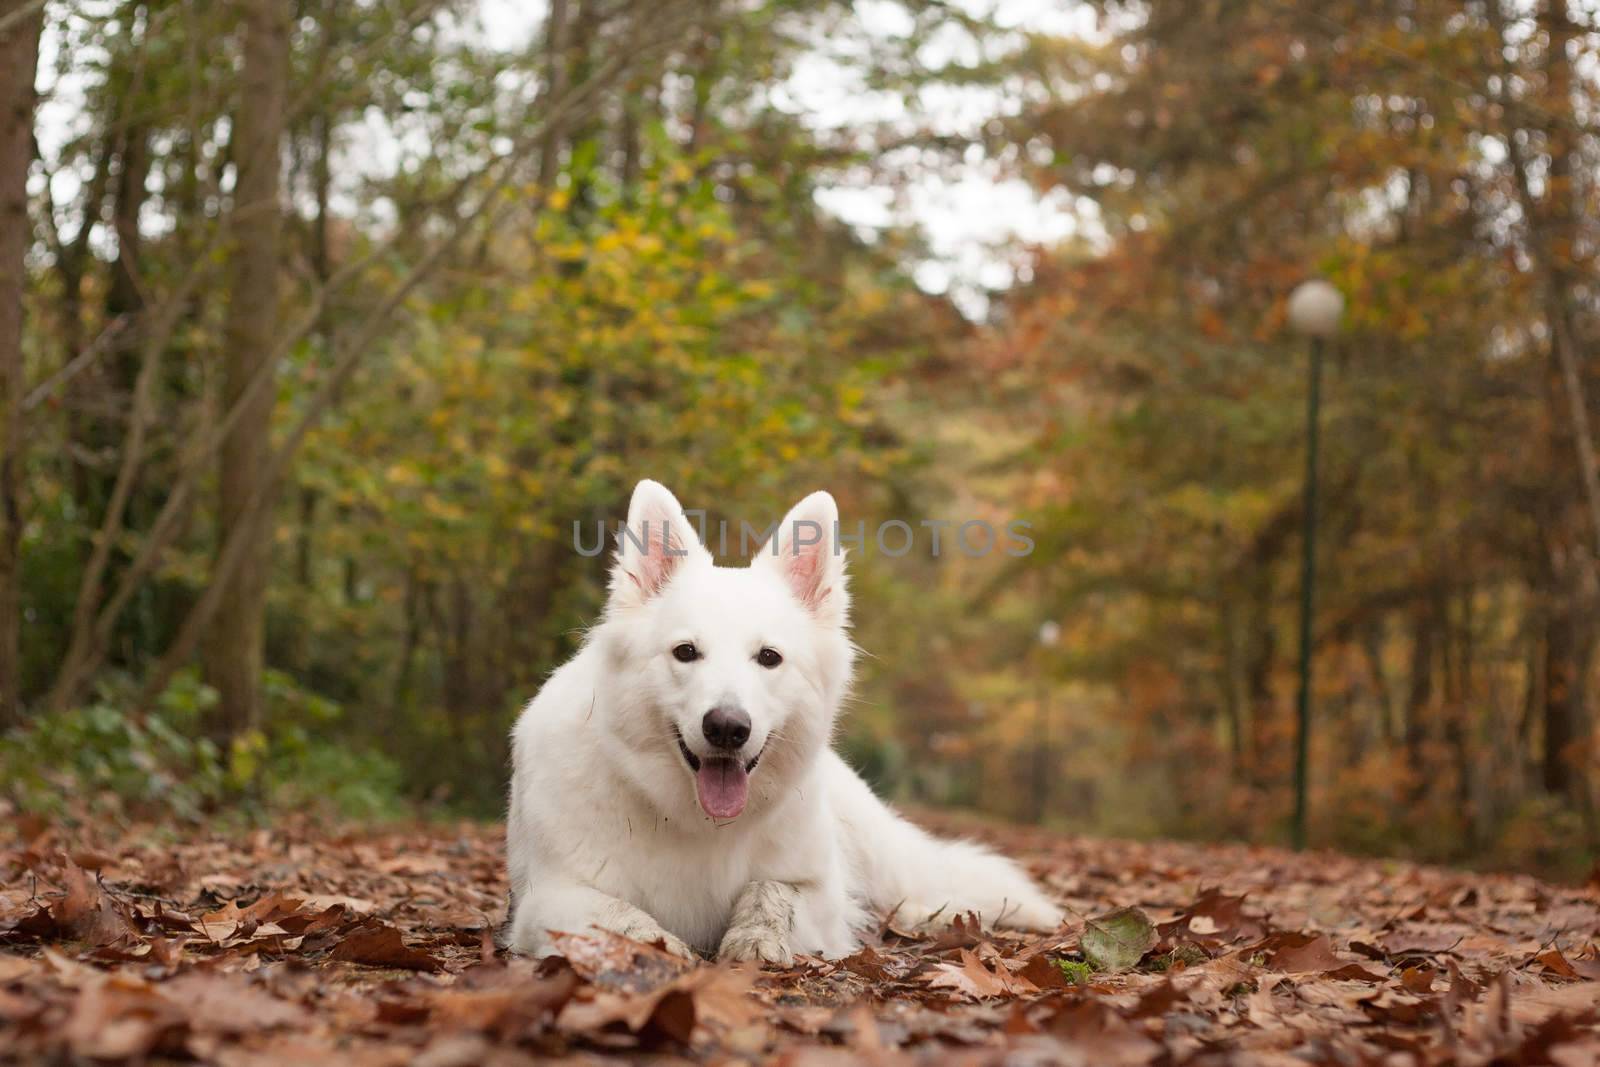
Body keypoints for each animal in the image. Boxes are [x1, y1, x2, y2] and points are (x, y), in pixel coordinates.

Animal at [505, 479, 1056, 966]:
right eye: (685, 652)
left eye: (768, 658)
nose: (727, 728)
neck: (693, 820)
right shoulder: (549, 898)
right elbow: (620, 916)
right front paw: (661, 946)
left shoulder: (820, 894)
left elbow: (771, 893)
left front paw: (756, 938)